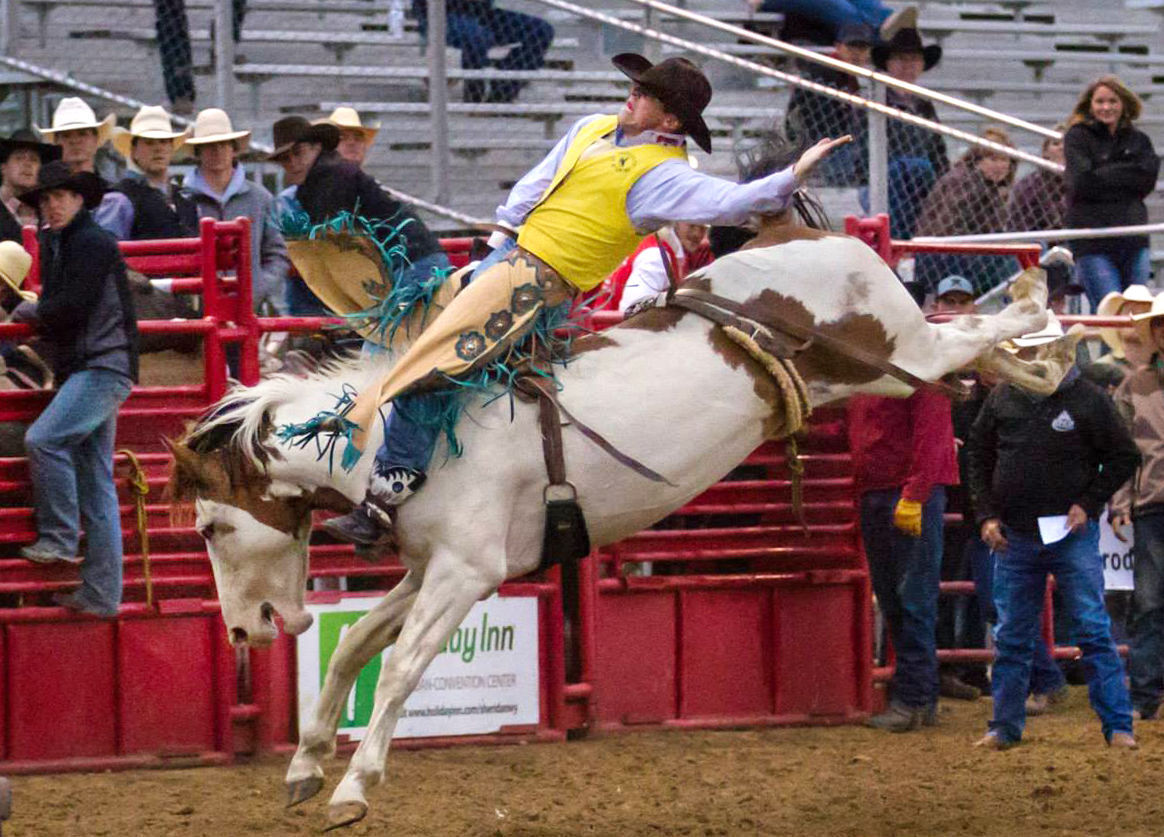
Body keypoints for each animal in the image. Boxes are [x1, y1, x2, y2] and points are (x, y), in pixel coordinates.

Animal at [166, 218, 1066, 828]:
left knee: (979, 330)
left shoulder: (465, 573)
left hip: (898, 345)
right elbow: (355, 643)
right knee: (975, 350)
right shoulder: (434, 568)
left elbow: (398, 670)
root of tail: (811, 231)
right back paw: (1044, 362)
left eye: (210, 528)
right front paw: (305, 765)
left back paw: (1038, 299)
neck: (396, 434)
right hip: (879, 374)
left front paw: (354, 786)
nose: (246, 630)